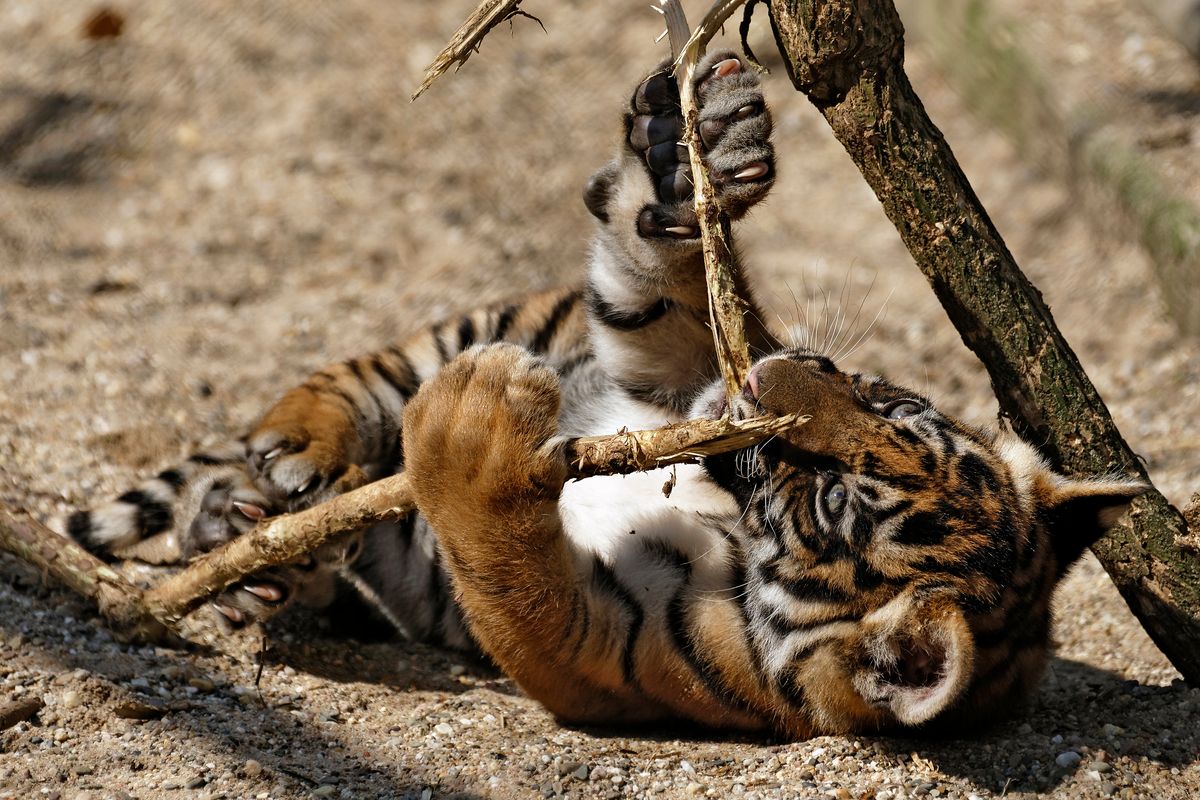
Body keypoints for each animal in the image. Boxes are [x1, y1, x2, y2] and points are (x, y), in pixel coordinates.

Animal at [60, 52, 1145, 737]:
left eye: (832, 495)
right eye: (877, 399)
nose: (773, 376)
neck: (721, 509)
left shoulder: (598, 651)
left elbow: (511, 571)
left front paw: (471, 425)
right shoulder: (673, 379)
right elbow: (675, 317)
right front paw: (693, 148)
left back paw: (249, 542)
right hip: (523, 324)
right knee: (354, 382)